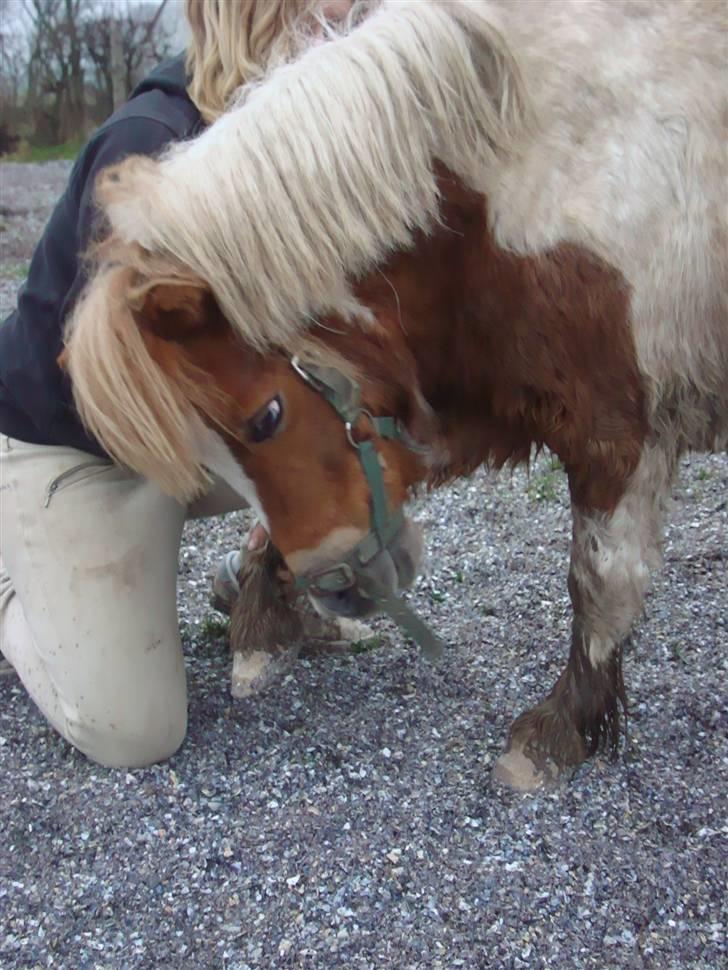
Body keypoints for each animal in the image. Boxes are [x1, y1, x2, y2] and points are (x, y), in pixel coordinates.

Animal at [65, 0, 724, 788]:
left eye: (267, 417)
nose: (344, 586)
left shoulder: (618, 434)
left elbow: (599, 581)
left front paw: (560, 733)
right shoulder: (465, 401)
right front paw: (262, 625)